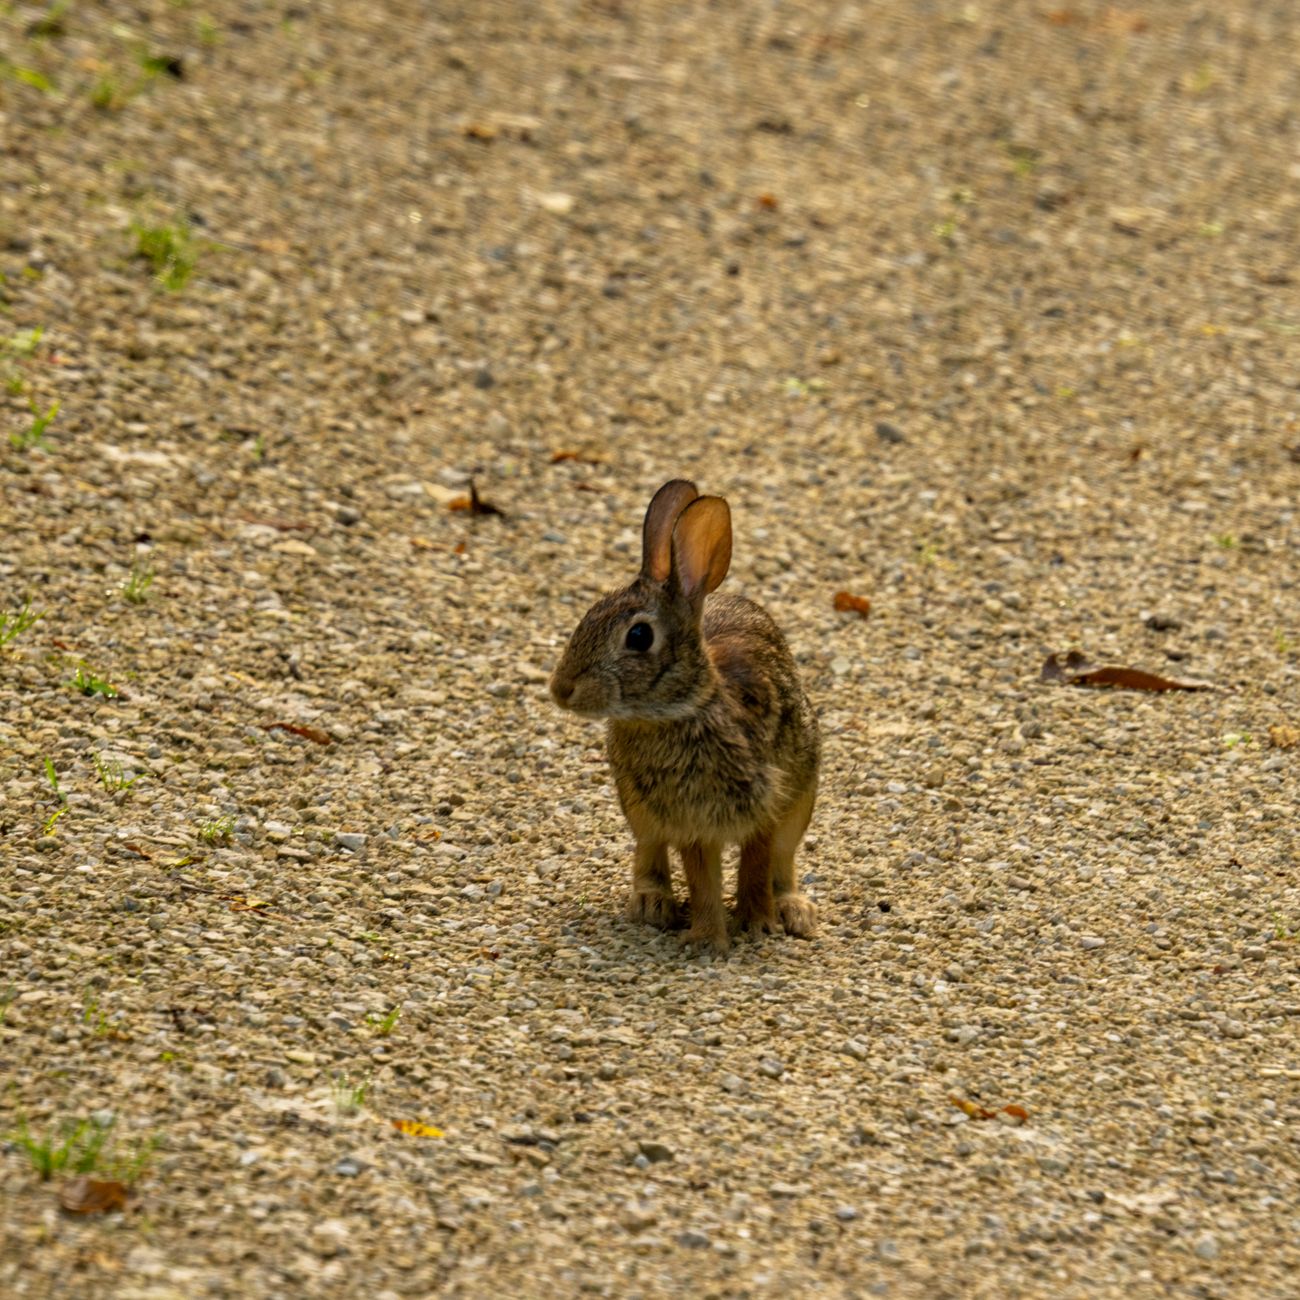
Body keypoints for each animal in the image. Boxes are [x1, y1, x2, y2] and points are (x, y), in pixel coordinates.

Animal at [549, 479, 820, 953]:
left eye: (639, 636)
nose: (561, 690)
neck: (683, 710)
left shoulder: (765, 804)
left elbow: (755, 865)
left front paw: (758, 925)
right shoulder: (689, 821)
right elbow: (702, 880)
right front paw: (707, 940)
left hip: (802, 799)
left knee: (783, 860)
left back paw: (793, 910)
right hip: (638, 807)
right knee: (650, 851)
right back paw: (652, 904)